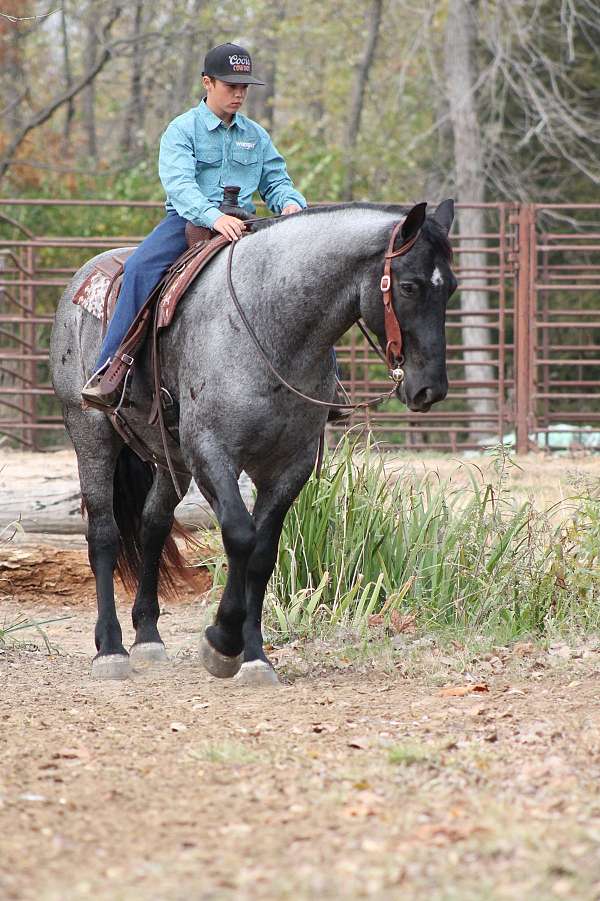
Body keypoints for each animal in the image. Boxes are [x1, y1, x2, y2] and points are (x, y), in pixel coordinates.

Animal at [51, 200, 454, 684]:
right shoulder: (211, 453)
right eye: (410, 286)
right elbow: (240, 535)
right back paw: (110, 650)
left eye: (450, 289)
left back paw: (148, 638)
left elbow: (262, 552)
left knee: (153, 525)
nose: (431, 389)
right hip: (90, 432)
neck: (269, 324)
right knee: (104, 533)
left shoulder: (290, 465)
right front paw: (221, 640)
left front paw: (253, 655)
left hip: (168, 457)